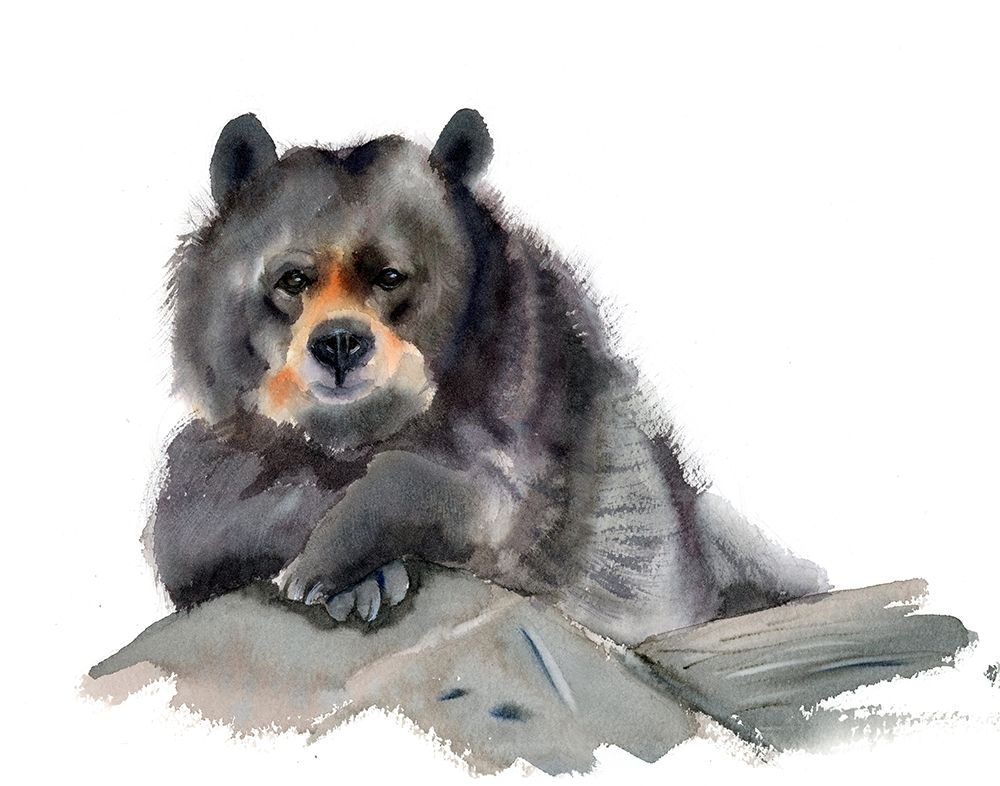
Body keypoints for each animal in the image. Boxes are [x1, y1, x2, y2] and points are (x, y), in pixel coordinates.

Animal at [148, 109, 828, 646]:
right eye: (293, 279)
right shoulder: (230, 450)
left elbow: (474, 496)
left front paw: (328, 560)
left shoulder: (533, 429)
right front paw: (348, 568)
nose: (339, 343)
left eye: (391, 276)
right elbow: (196, 512)